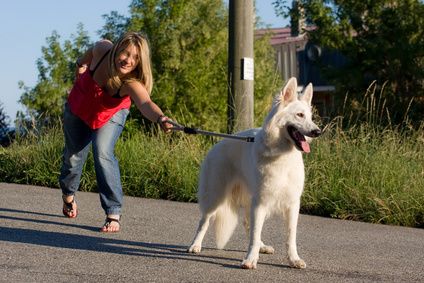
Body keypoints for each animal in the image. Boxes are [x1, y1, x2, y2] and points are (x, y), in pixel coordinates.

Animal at [187, 77, 320, 270]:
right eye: (299, 115)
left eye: (310, 117)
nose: (318, 132)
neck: (281, 156)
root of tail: (215, 146)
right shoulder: (261, 202)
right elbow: (255, 234)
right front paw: (250, 259)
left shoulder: (292, 204)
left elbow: (290, 238)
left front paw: (293, 259)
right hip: (216, 198)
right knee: (203, 222)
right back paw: (195, 245)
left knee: (247, 223)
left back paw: (262, 247)